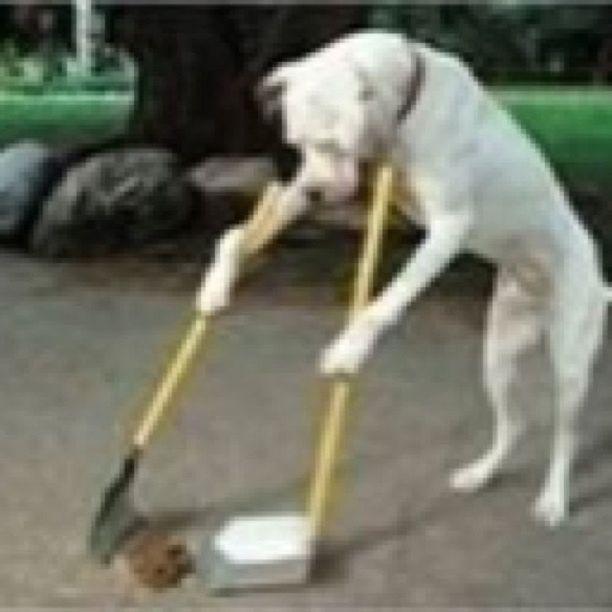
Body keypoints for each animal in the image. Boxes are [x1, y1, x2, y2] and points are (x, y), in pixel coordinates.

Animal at [198, 29, 608, 524]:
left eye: (334, 143)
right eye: (296, 145)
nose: (314, 194)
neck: (407, 103)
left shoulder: (449, 227)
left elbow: (388, 300)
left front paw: (349, 351)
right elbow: (234, 236)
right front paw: (216, 285)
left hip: (570, 364)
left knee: (566, 433)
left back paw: (553, 499)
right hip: (499, 357)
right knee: (514, 424)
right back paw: (480, 474)